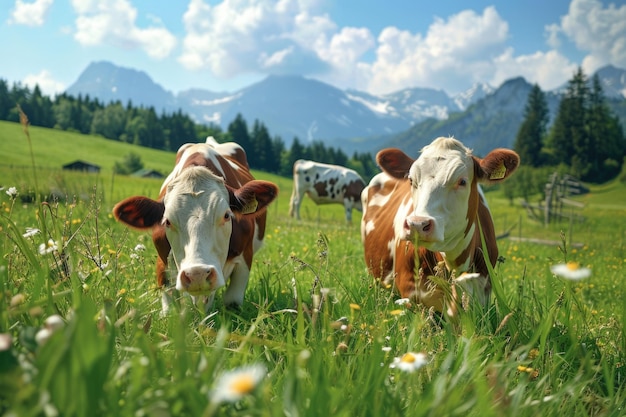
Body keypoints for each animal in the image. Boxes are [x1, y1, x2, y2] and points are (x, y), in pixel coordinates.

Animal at [112, 136, 278, 312]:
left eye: (227, 215)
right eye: (167, 221)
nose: (197, 274)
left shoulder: (245, 257)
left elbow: (232, 302)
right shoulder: (163, 262)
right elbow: (169, 307)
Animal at [358, 136, 520, 316]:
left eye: (462, 181)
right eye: (411, 180)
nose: (417, 224)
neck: (454, 262)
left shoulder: (483, 290)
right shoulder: (412, 289)